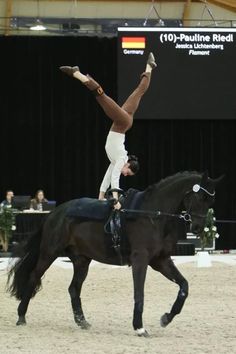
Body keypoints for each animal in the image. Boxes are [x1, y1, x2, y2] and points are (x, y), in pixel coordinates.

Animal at [6, 170, 221, 336]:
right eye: (200, 197)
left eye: (211, 200)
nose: (198, 227)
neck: (152, 215)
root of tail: (55, 213)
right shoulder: (141, 259)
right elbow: (139, 292)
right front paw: (139, 328)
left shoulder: (161, 260)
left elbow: (184, 286)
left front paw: (166, 318)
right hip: (49, 253)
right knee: (33, 277)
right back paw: (21, 316)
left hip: (82, 260)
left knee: (73, 288)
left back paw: (82, 322)